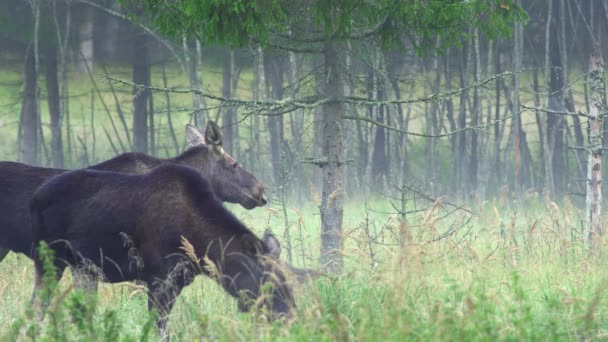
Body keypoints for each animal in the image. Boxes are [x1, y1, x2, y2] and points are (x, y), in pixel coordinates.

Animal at [31, 164, 296, 340]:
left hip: (82, 268)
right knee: (38, 303)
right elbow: (159, 327)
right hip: (50, 260)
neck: (201, 244)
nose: (290, 316)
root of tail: (35, 197)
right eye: (267, 282)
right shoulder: (158, 279)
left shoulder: (175, 281)